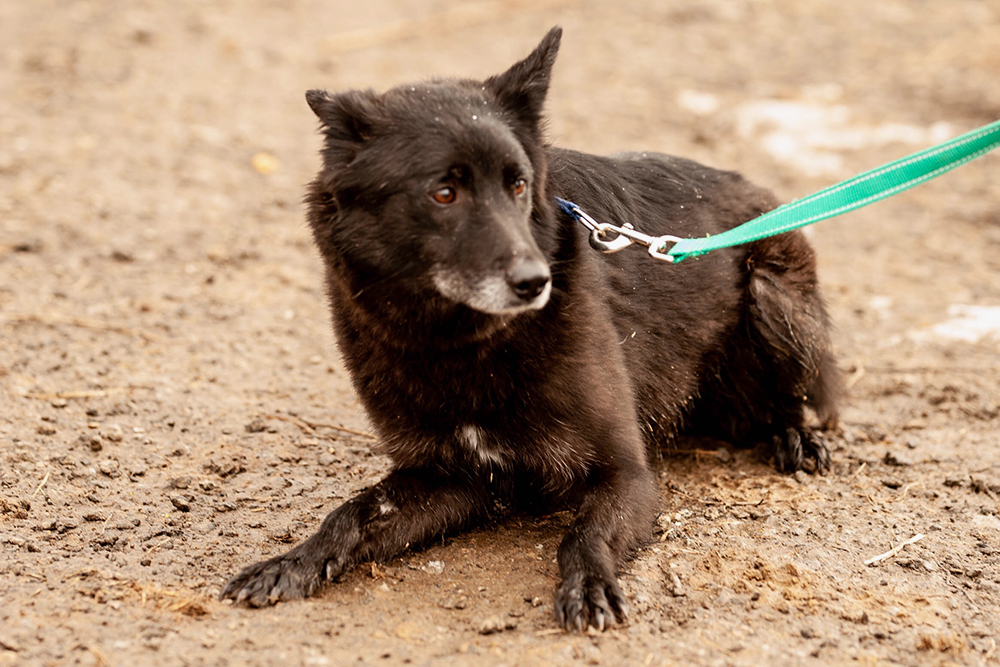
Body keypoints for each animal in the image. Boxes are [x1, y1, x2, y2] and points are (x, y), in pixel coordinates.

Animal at [223, 26, 840, 632]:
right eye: (443, 192)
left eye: (518, 185)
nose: (535, 282)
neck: (462, 346)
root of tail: (759, 193)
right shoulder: (452, 477)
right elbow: (351, 512)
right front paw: (292, 561)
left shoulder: (629, 475)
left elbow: (583, 534)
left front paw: (589, 582)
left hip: (772, 301)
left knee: (798, 399)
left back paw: (796, 436)